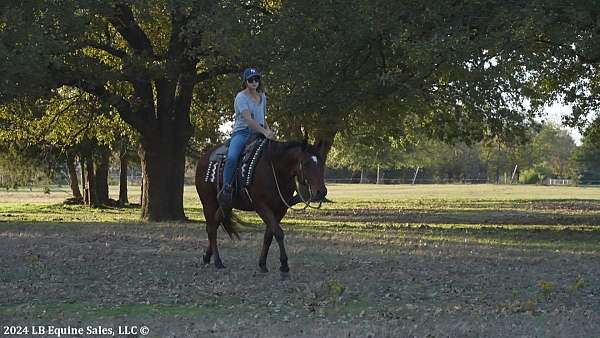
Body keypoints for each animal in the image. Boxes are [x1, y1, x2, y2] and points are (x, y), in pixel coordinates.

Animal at [193, 137, 326, 272]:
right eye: (305, 163)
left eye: (322, 163)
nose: (321, 192)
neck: (275, 169)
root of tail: (203, 158)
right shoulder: (261, 206)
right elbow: (278, 232)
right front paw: (284, 264)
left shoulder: (280, 209)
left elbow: (269, 235)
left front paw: (262, 263)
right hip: (208, 202)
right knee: (211, 229)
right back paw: (218, 261)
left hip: (225, 205)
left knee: (215, 223)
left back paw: (207, 257)